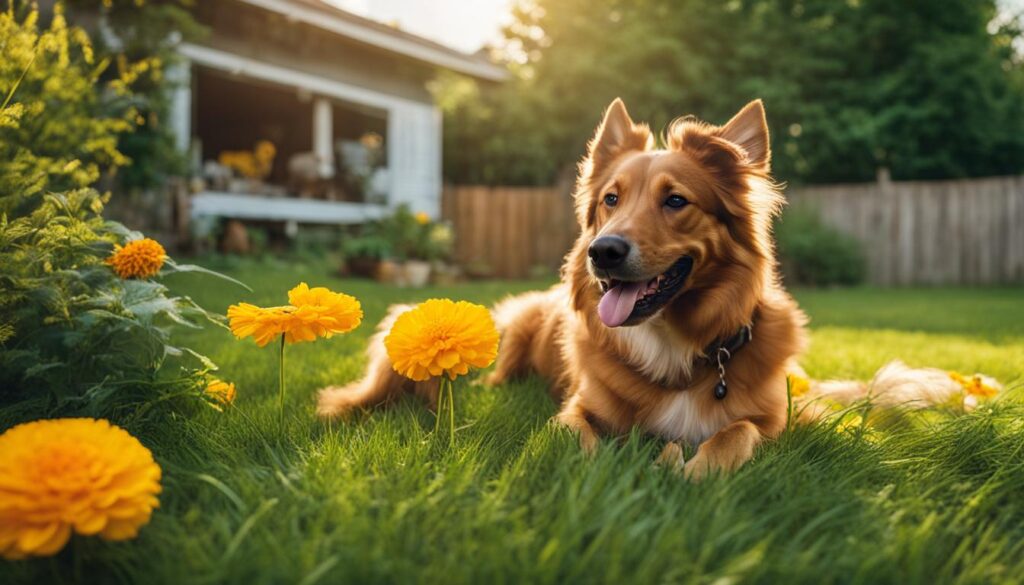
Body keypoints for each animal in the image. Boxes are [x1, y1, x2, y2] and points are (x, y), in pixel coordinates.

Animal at [321, 97, 815, 481]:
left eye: (676, 200)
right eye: (611, 199)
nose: (603, 251)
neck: (671, 343)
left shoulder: (774, 421)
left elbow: (737, 432)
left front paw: (697, 471)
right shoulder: (576, 407)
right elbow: (576, 436)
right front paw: (604, 472)